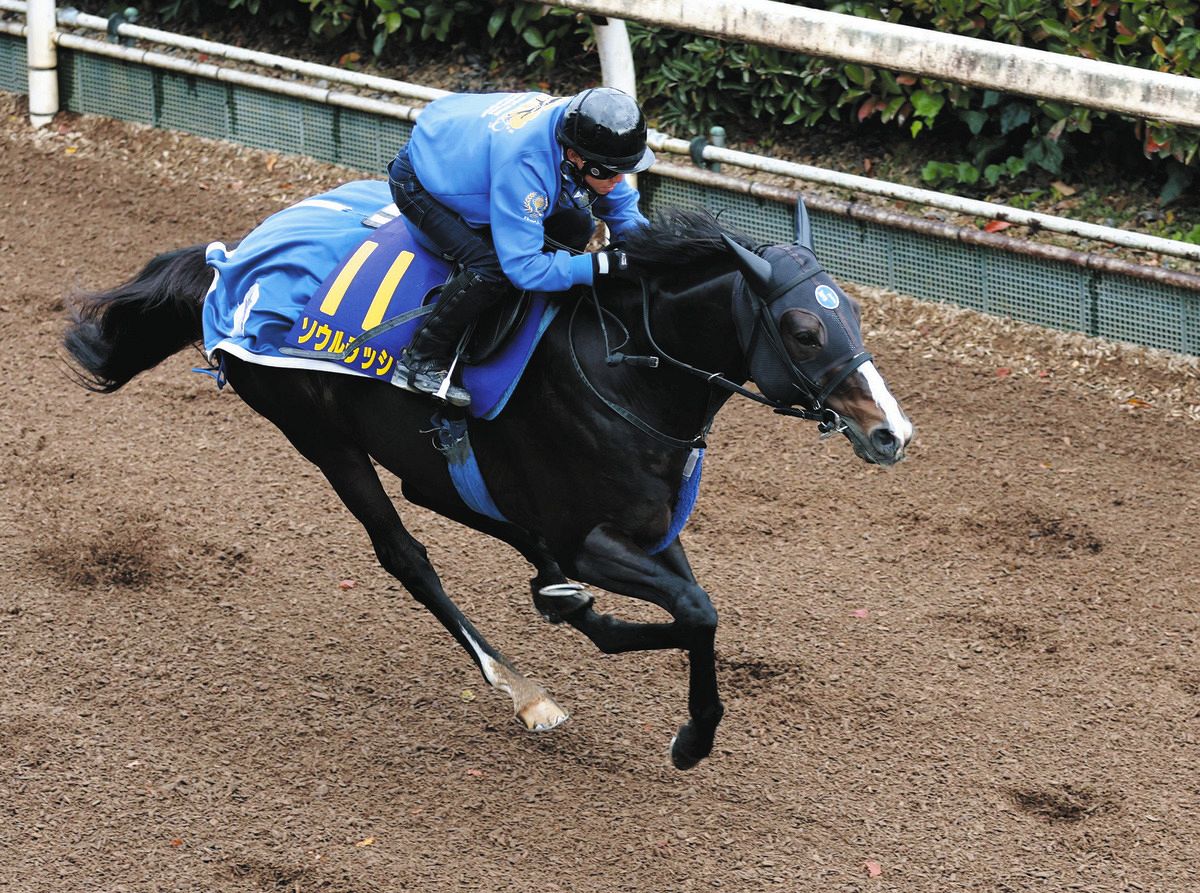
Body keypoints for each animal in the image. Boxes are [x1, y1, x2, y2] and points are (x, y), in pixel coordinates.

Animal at [63, 188, 912, 770]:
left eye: (854, 312)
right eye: (804, 328)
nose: (892, 432)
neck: (627, 366)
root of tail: (229, 262)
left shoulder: (646, 527)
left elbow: (694, 606)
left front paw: (677, 711)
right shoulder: (591, 534)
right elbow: (696, 610)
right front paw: (691, 737)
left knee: (460, 512)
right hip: (320, 436)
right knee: (406, 555)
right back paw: (523, 689)